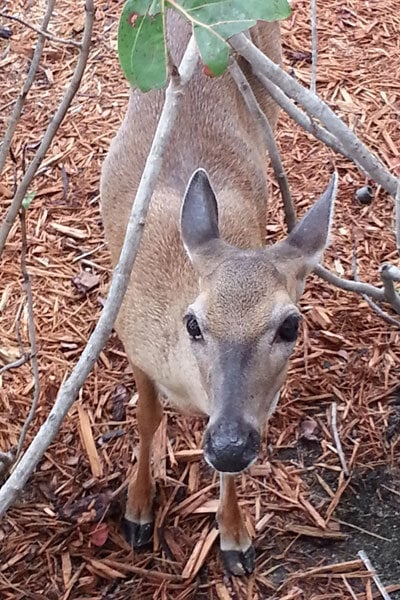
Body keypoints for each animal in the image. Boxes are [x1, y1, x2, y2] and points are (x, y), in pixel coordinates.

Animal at [98, 10, 336, 576]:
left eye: (290, 325)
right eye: (193, 323)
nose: (228, 445)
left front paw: (234, 537)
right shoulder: (132, 338)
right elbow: (146, 418)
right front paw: (137, 510)